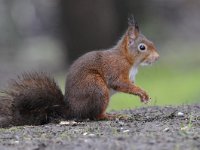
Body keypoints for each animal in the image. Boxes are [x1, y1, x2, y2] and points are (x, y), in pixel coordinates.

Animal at [0, 16, 159, 126]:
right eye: (142, 47)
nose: (157, 57)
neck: (129, 60)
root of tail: (73, 110)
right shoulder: (116, 68)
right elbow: (120, 83)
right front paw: (142, 93)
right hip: (97, 88)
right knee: (95, 116)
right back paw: (111, 116)